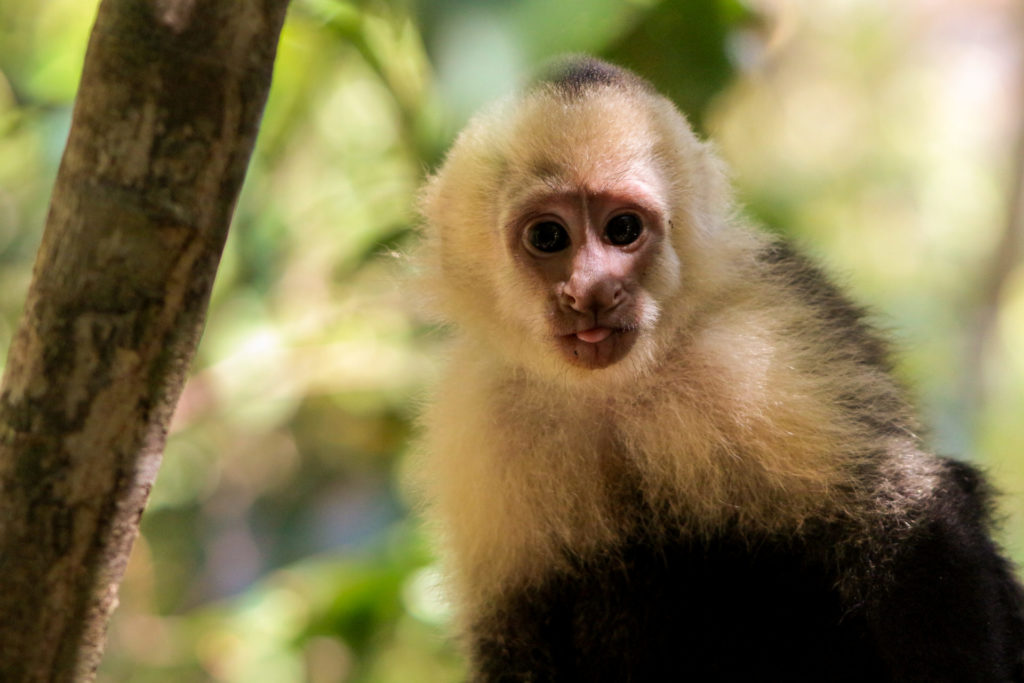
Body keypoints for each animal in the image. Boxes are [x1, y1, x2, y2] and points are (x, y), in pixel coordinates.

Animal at [409, 57, 1024, 683]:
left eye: (623, 229)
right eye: (548, 236)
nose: (595, 290)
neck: (610, 390)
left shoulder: (750, 350)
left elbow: (907, 513)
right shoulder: (477, 411)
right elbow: (516, 629)